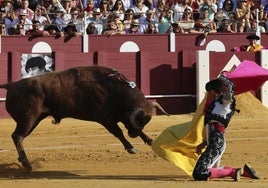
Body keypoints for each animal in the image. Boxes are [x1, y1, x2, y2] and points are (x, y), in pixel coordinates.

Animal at [0, 66, 169, 172]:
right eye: (138, 120)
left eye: (144, 121)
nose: (132, 134)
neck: (111, 88)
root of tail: (13, 85)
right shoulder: (105, 118)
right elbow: (118, 132)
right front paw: (131, 147)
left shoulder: (119, 116)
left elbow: (135, 131)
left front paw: (150, 140)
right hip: (28, 118)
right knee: (18, 136)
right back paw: (27, 164)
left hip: (34, 120)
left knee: (19, 137)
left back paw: (23, 161)